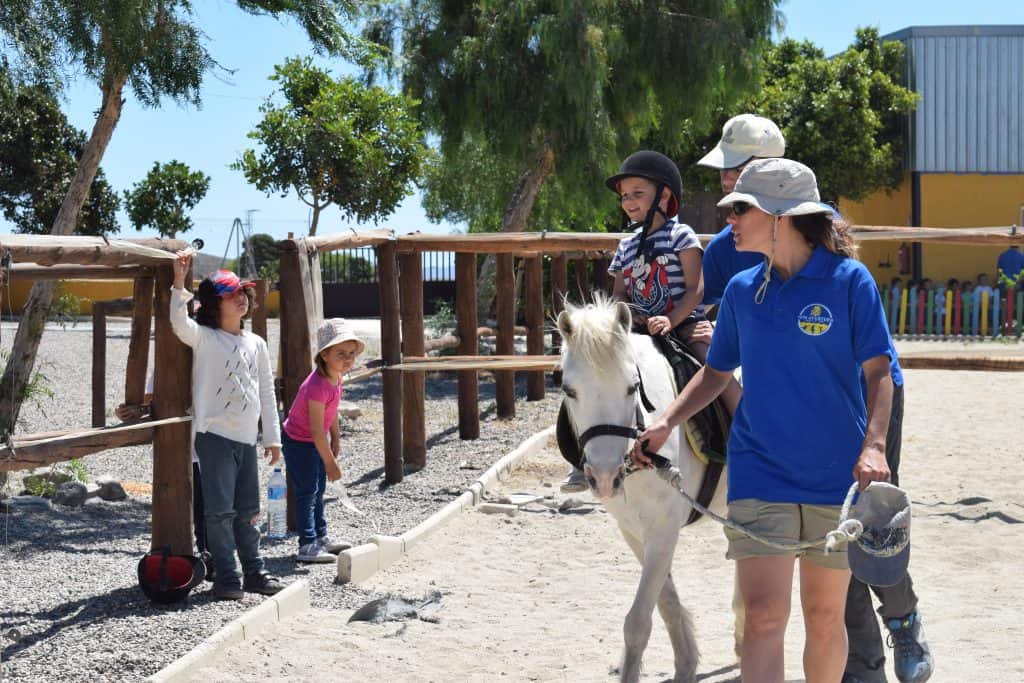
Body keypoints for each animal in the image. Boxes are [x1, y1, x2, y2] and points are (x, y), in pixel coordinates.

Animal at [557, 296, 733, 683]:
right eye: (569, 391)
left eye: (632, 386)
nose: (605, 475)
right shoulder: (634, 532)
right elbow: (665, 603)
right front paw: (686, 663)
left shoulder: (663, 532)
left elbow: (637, 622)